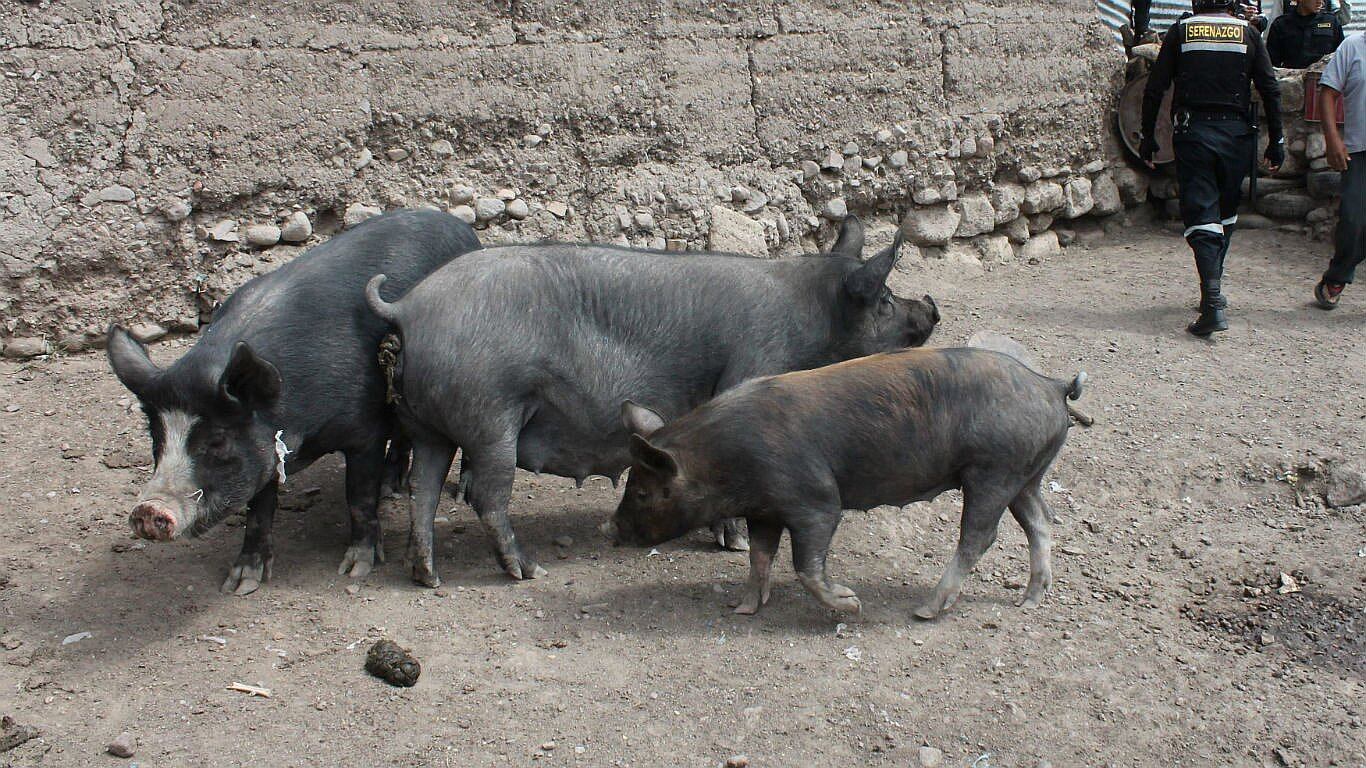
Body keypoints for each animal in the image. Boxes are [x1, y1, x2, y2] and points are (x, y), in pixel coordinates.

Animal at [106, 209, 480, 594]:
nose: (147, 510)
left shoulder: (365, 433)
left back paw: (446, 493)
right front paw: (240, 584)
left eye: (218, 440)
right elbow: (259, 511)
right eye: (156, 437)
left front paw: (356, 569)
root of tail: (457, 225)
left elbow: (359, 498)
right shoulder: (267, 451)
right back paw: (391, 487)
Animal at [364, 217, 940, 587]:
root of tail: (408, 307)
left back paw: (428, 577)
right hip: (490, 416)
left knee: (422, 489)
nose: (931, 307)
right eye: (885, 300)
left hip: (428, 426)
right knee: (486, 495)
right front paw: (733, 542)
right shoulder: (751, 366)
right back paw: (527, 571)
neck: (812, 318)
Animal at [607, 346, 1086, 619]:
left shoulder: (814, 500)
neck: (723, 459)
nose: (612, 528)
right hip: (1025, 475)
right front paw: (741, 608)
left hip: (993, 471)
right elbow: (760, 557)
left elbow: (806, 564)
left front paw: (852, 604)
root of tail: (1051, 385)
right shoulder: (764, 510)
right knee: (1041, 523)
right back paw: (1029, 601)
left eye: (644, 492)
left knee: (980, 537)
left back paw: (925, 610)